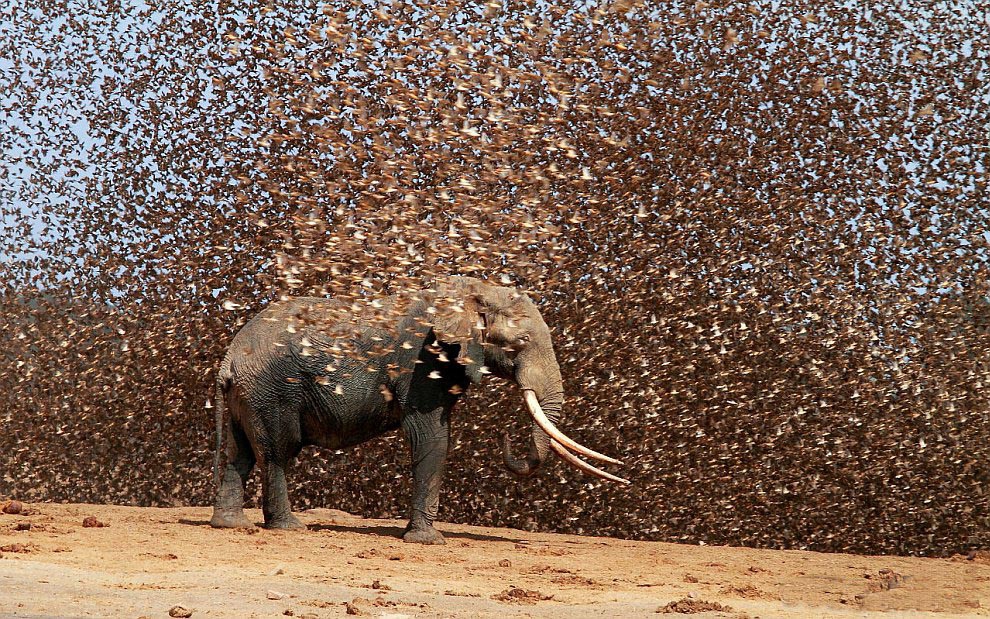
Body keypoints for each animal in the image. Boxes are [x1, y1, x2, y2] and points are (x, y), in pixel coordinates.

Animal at [209, 274, 628, 544]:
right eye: (520, 342)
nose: (507, 438)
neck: (470, 294)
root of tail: (230, 357)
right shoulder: (422, 364)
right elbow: (432, 438)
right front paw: (428, 541)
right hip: (273, 390)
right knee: (278, 451)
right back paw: (290, 528)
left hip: (247, 395)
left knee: (238, 453)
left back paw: (229, 526)